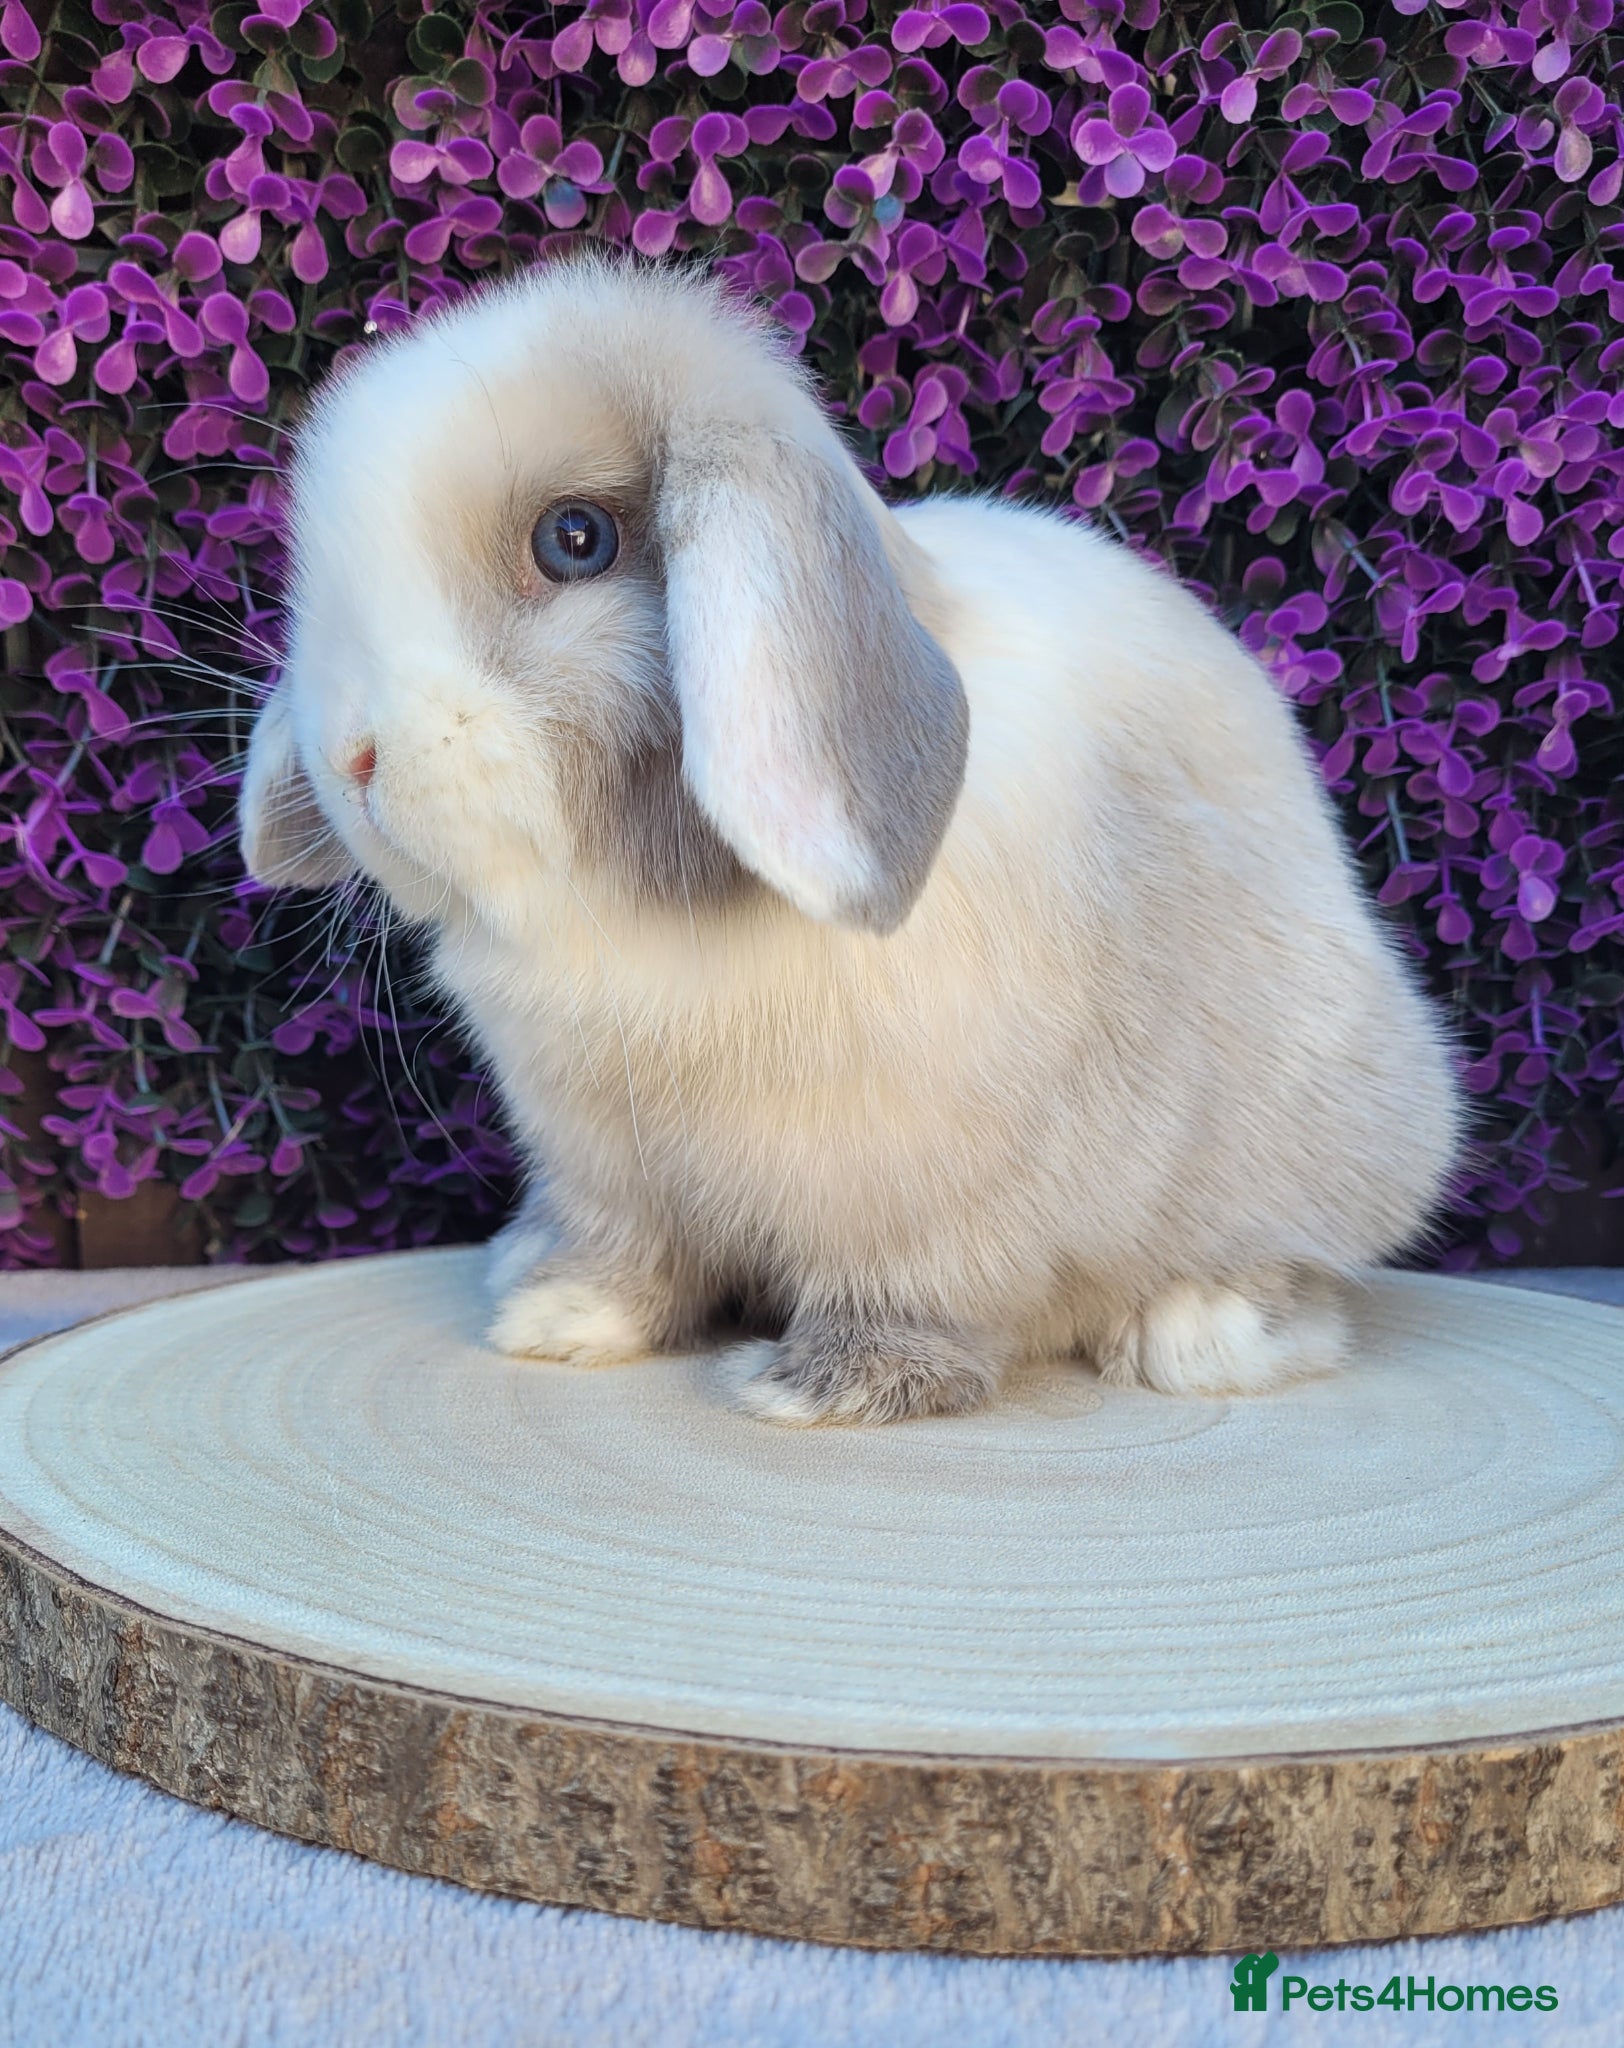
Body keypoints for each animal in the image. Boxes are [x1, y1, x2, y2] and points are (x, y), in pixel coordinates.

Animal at [239, 254, 1463, 1427]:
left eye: (573, 539)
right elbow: (630, 1253)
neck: (632, 912)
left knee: (1297, 1269)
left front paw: (833, 1389)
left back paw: (1200, 1329)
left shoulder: (929, 1189)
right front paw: (561, 1318)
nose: (352, 756)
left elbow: (911, 1287)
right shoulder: (608, 1166)